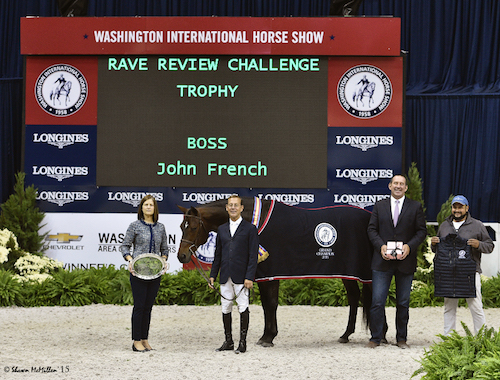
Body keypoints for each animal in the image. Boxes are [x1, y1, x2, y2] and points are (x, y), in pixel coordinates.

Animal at [178, 197, 374, 346]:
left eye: (193, 227)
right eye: (181, 226)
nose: (182, 256)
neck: (256, 221)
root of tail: (369, 216)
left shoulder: (270, 273)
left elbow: (270, 303)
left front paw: (268, 337)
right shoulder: (263, 275)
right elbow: (267, 304)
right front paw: (267, 335)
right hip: (347, 272)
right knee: (354, 297)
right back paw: (346, 335)